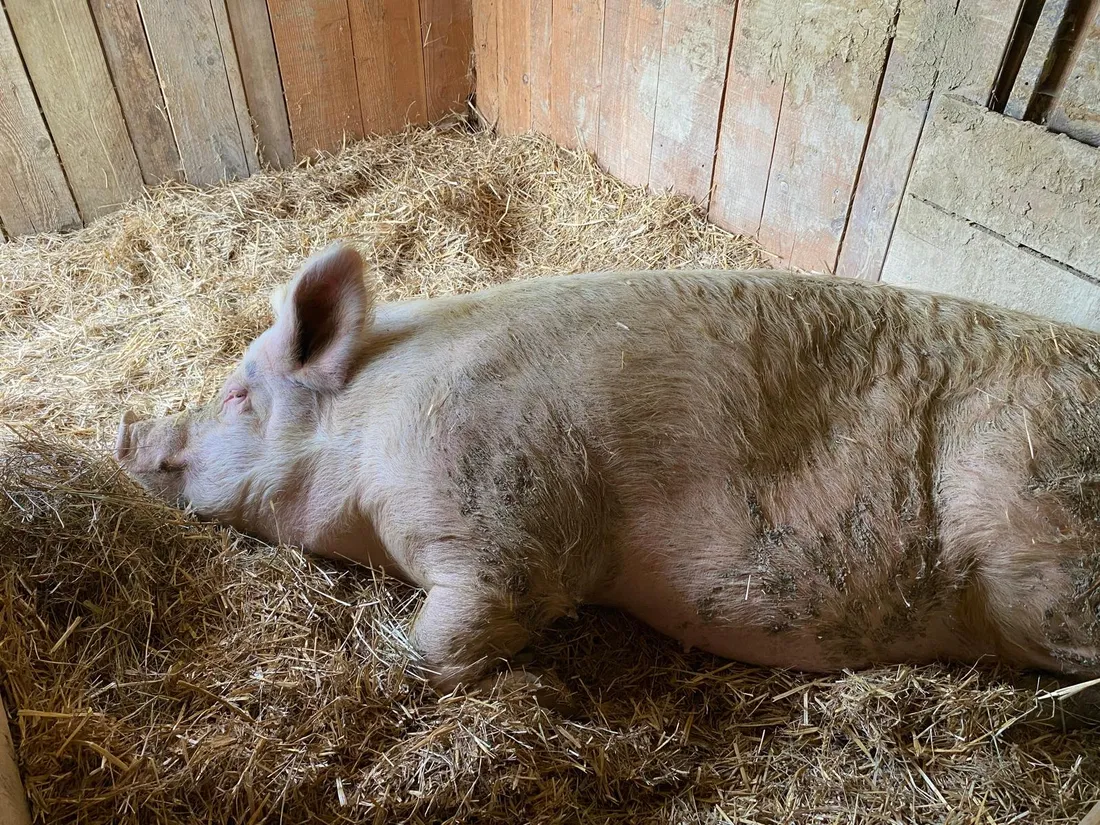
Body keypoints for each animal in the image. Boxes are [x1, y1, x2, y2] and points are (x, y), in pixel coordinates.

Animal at [114, 243, 1100, 692]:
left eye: (239, 395)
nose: (126, 432)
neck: (368, 431)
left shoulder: (502, 529)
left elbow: (451, 638)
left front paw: (399, 661)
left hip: (1042, 539)